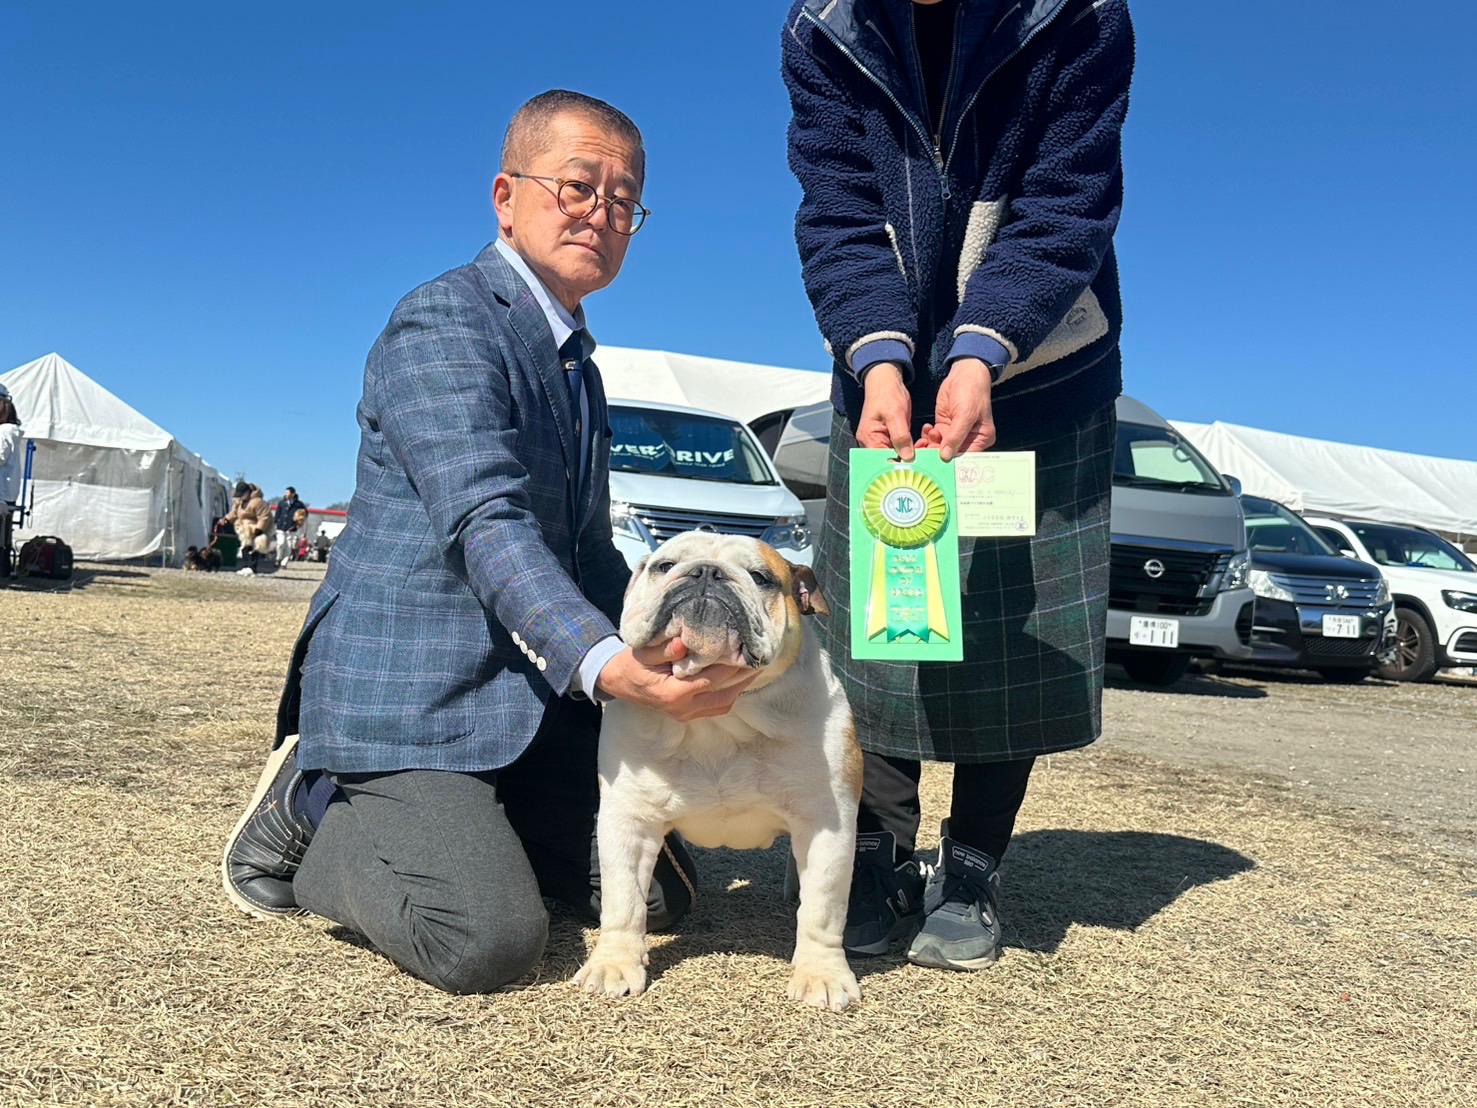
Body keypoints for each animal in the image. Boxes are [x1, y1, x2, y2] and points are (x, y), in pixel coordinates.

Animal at [574, 532, 862, 1011]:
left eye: (761, 577)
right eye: (664, 565)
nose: (706, 573)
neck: (721, 721)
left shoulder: (827, 821)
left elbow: (823, 907)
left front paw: (822, 973)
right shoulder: (627, 820)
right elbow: (624, 899)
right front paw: (613, 963)